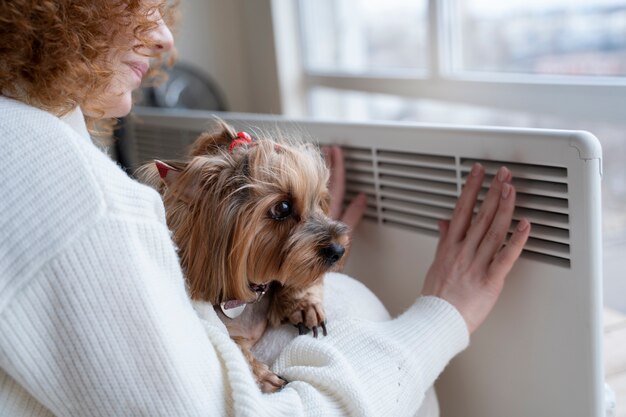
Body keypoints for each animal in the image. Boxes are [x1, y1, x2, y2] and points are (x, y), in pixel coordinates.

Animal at [138, 119, 348, 390]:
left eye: (319, 201)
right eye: (282, 207)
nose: (339, 250)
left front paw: (304, 305)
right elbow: (232, 345)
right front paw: (261, 375)